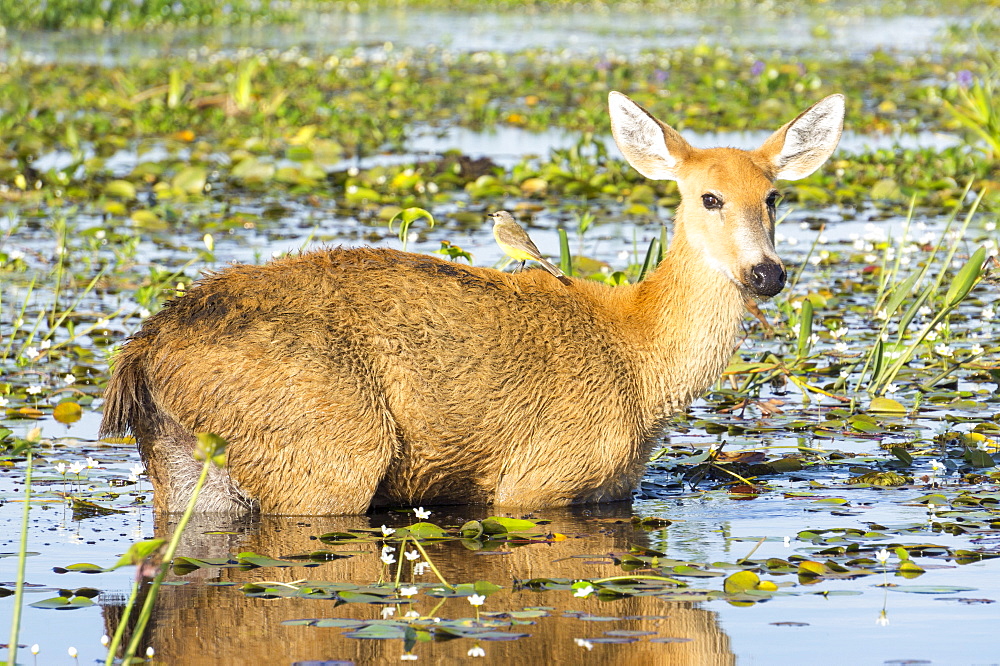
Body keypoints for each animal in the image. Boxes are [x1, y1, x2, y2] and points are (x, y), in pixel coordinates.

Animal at [99, 91, 844, 512]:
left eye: (773, 195)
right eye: (707, 196)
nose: (766, 274)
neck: (643, 362)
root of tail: (142, 353)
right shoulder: (535, 481)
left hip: (186, 464)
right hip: (325, 453)